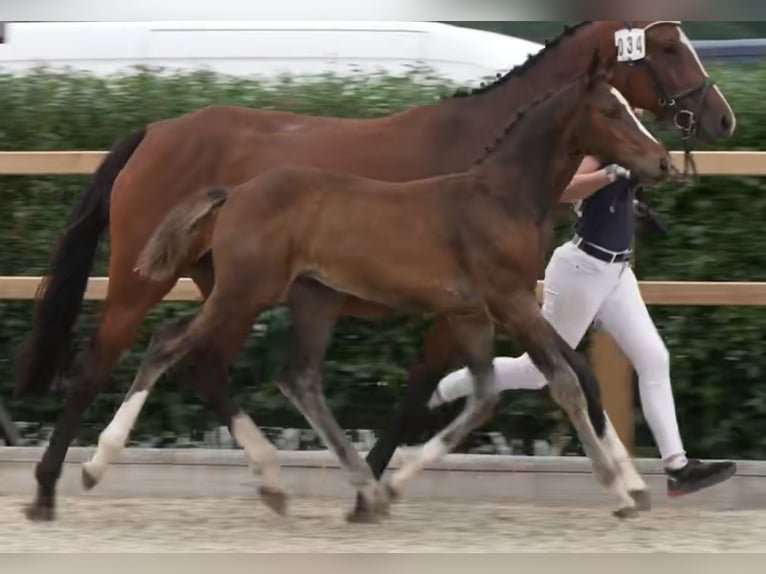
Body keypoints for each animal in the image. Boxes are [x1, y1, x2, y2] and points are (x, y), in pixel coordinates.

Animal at [16, 20, 736, 524]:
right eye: (668, 48)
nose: (722, 117)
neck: (489, 167)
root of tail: (154, 130)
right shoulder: (472, 303)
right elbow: (436, 390)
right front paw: (373, 488)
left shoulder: (480, 304)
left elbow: (551, 375)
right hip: (154, 281)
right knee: (106, 362)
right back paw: (55, 484)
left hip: (240, 288)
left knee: (211, 367)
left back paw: (270, 480)